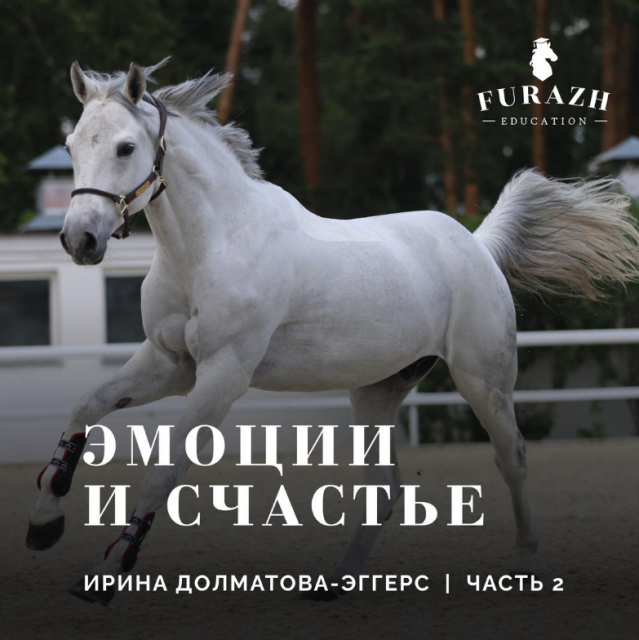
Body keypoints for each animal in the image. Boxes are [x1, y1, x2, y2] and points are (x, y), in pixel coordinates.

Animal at [26, 60, 639, 604]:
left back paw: (525, 567)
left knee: (512, 458)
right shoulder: (169, 363)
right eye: (74, 145)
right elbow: (86, 407)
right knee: (385, 489)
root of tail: (477, 244)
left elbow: (162, 471)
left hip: (483, 380)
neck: (212, 245)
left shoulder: (223, 373)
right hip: (377, 391)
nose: (80, 240)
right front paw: (43, 522)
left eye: (126, 148)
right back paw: (335, 581)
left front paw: (107, 573)